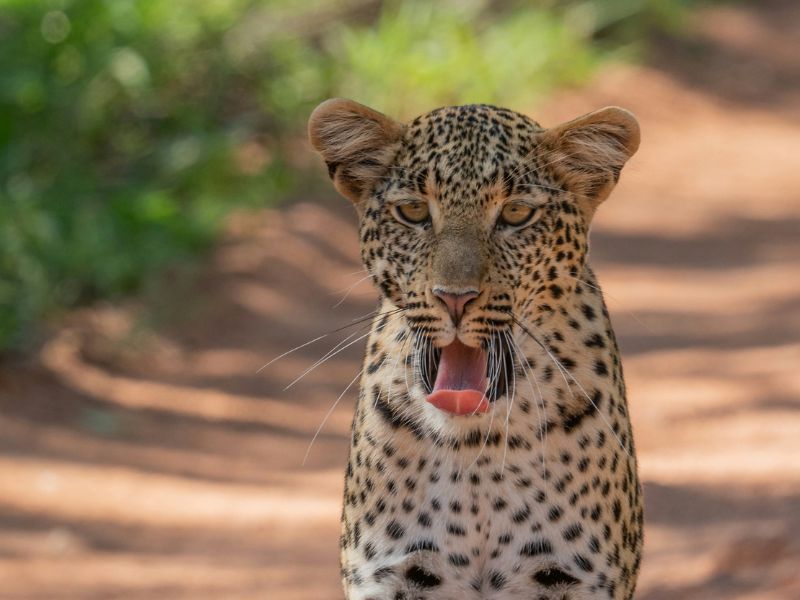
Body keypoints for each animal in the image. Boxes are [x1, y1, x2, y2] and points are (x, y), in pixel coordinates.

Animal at [307, 97, 643, 600]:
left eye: (517, 214)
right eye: (413, 211)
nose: (454, 298)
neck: (475, 449)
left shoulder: (571, 579)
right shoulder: (393, 576)